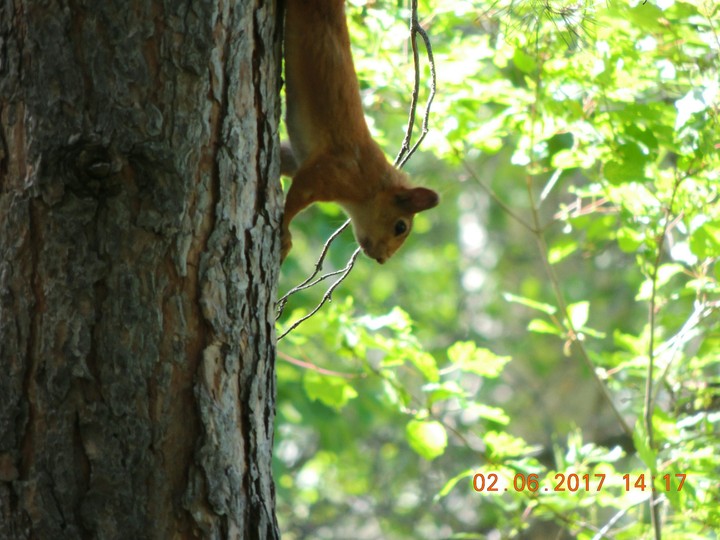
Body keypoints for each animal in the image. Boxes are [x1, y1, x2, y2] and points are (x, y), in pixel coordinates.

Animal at [281, 0, 439, 264]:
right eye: (400, 227)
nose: (383, 259)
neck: (371, 184)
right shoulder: (331, 172)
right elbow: (295, 200)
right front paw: (283, 233)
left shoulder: (298, 157)